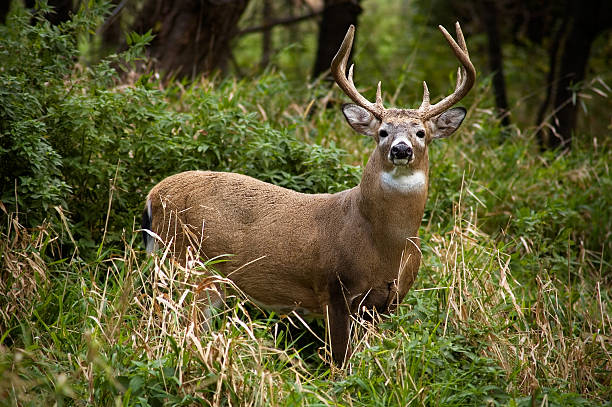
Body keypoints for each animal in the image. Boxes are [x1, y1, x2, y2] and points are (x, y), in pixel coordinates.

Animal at [141, 22, 476, 366]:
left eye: (420, 132)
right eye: (383, 131)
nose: (401, 149)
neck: (385, 244)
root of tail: (153, 196)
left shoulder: (389, 300)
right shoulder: (334, 287)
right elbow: (340, 361)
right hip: (184, 262)